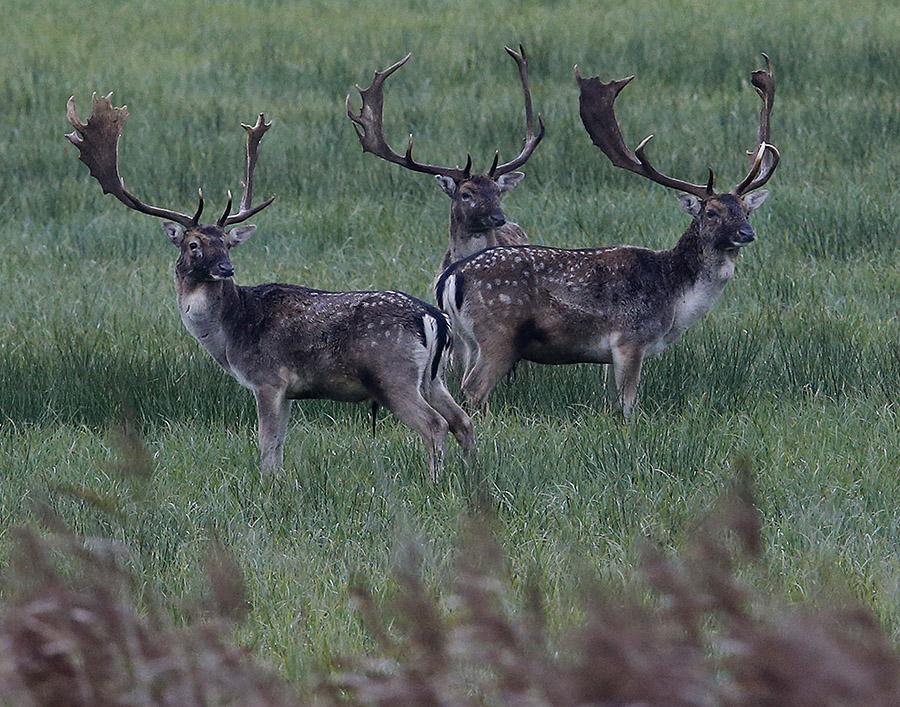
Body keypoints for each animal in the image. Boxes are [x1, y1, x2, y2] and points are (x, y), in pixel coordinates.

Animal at [67, 91, 474, 478]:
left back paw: (436, 480)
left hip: (392, 374)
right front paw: (278, 481)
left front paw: (267, 484)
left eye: (227, 242)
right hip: (433, 377)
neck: (229, 337)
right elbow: (278, 446)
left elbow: (266, 445)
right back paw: (471, 474)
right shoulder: (289, 391)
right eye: (194, 244)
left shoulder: (267, 379)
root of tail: (433, 318)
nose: (226, 268)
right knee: (463, 420)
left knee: (435, 424)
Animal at [432, 56, 776, 420]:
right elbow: (628, 403)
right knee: (473, 388)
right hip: (498, 332)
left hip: (467, 340)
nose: (746, 233)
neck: (676, 298)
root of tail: (451, 276)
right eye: (711, 212)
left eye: (745, 210)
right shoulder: (629, 339)